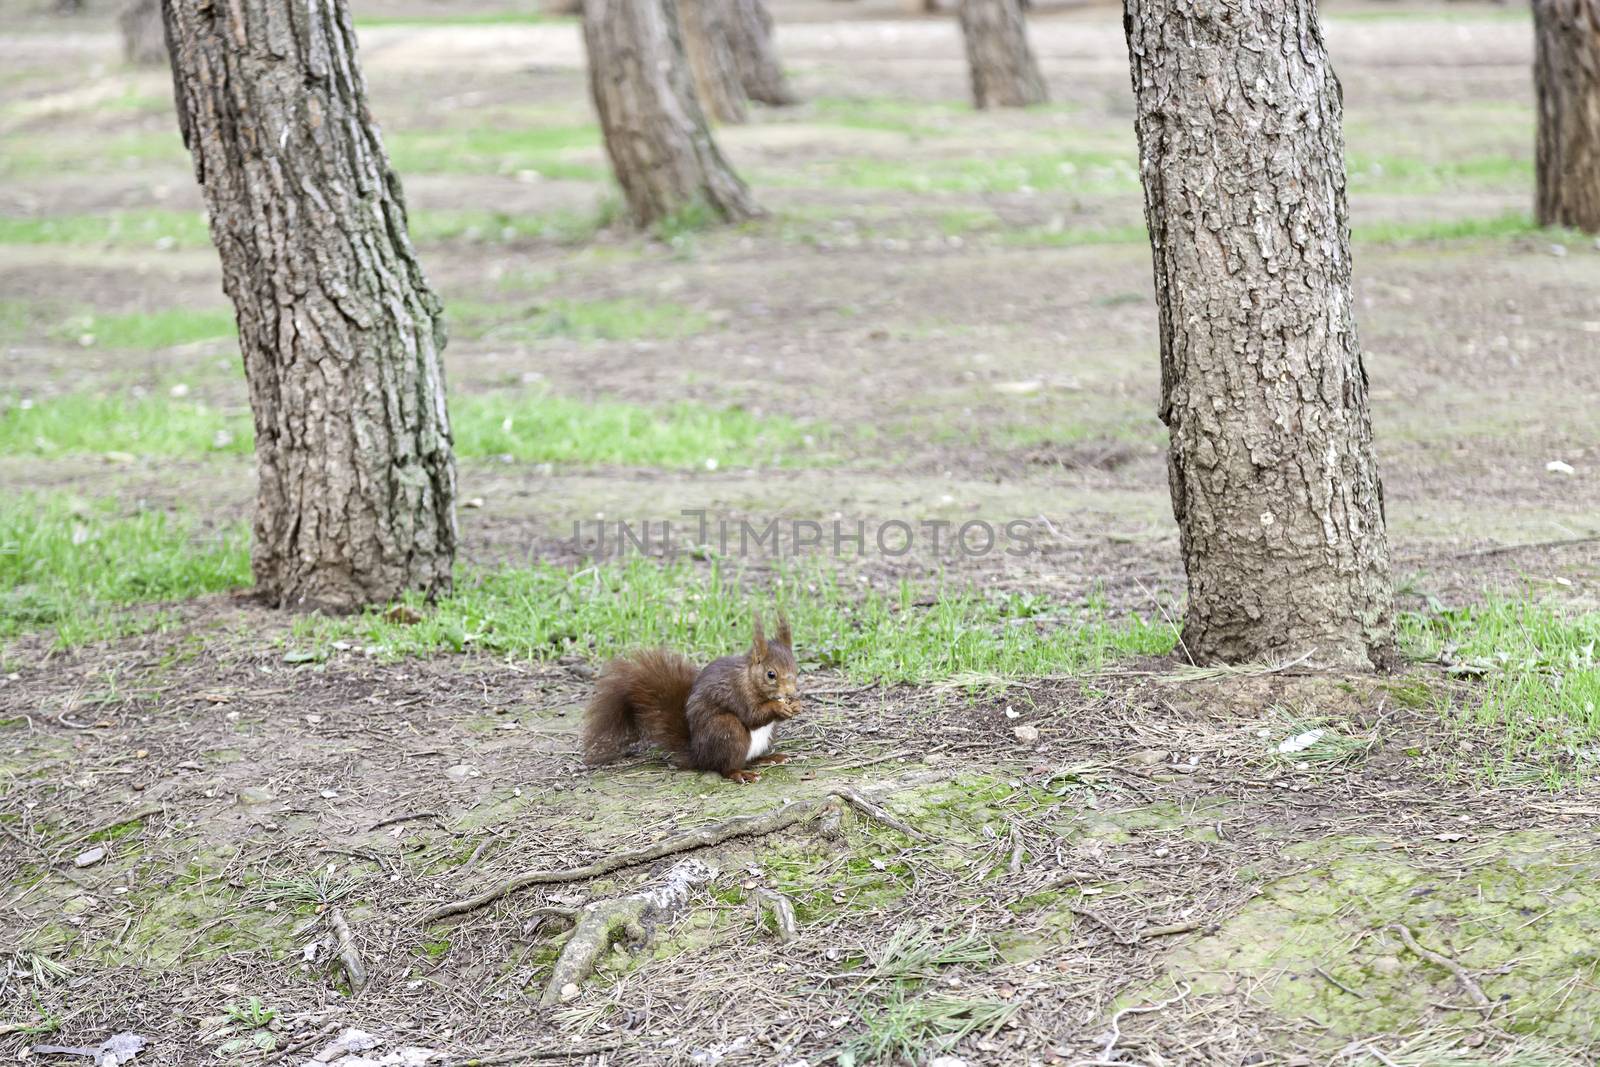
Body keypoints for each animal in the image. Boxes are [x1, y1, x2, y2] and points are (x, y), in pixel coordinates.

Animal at [582, 614, 800, 780]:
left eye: (795, 668)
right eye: (771, 674)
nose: (790, 693)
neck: (749, 678)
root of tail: (699, 755)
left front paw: (796, 705)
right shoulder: (737, 693)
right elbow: (752, 716)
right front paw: (778, 707)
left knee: (750, 759)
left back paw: (771, 758)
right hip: (728, 730)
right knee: (725, 767)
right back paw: (740, 774)